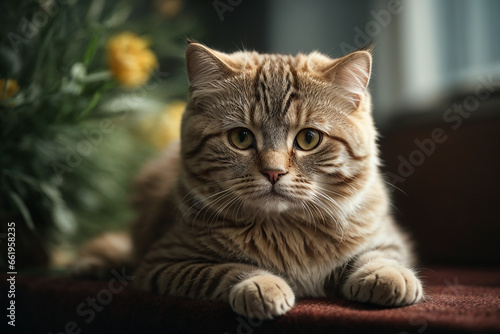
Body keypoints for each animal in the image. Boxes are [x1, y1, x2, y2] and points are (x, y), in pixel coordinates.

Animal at [70, 41, 422, 318]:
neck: (286, 231)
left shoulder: (387, 238)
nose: (273, 172)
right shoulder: (164, 262)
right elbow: (227, 268)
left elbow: (380, 255)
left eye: (308, 139)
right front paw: (261, 283)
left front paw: (387, 275)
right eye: (241, 138)